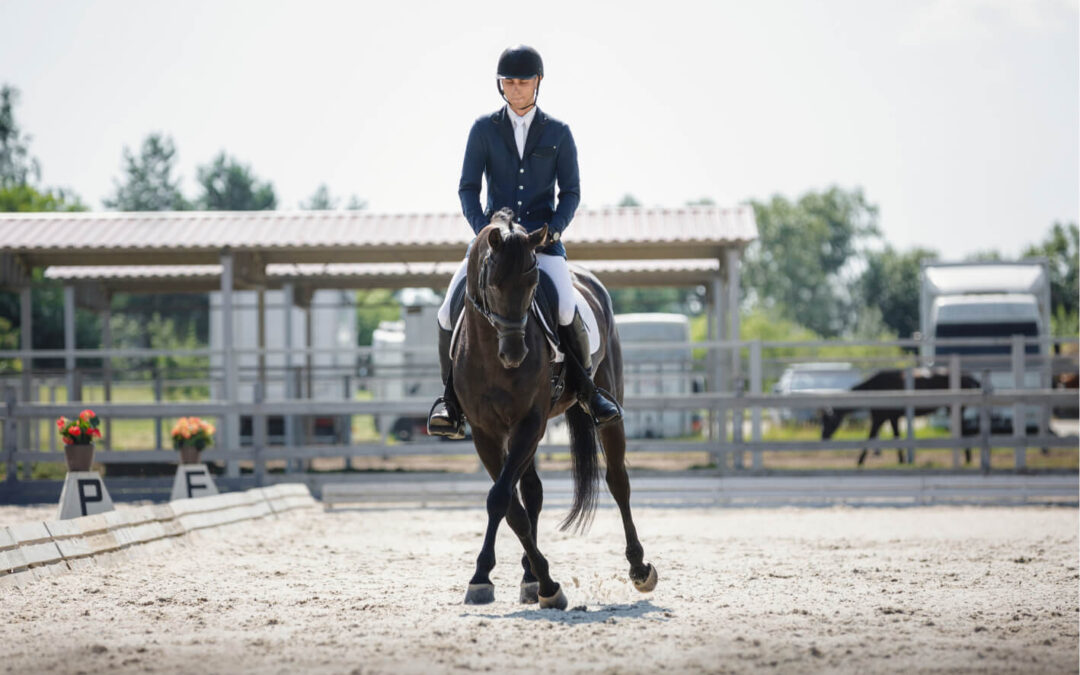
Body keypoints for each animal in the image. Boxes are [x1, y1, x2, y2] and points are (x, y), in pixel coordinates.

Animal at [451, 209, 657, 609]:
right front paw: (488, 577)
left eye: (533, 284)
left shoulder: (530, 422)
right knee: (531, 491)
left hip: (607, 407)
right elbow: (510, 504)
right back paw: (528, 576)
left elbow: (501, 497)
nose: (514, 354)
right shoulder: (486, 433)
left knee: (618, 481)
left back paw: (639, 568)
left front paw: (545, 583)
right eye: (492, 283)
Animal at [820, 368, 981, 466]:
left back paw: (968, 459)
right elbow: (896, 436)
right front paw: (902, 460)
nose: (823, 437)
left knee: (963, 431)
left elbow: (871, 436)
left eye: (829, 420)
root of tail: (968, 376)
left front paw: (860, 461)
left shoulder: (880, 418)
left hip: (955, 409)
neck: (874, 387)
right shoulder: (892, 418)